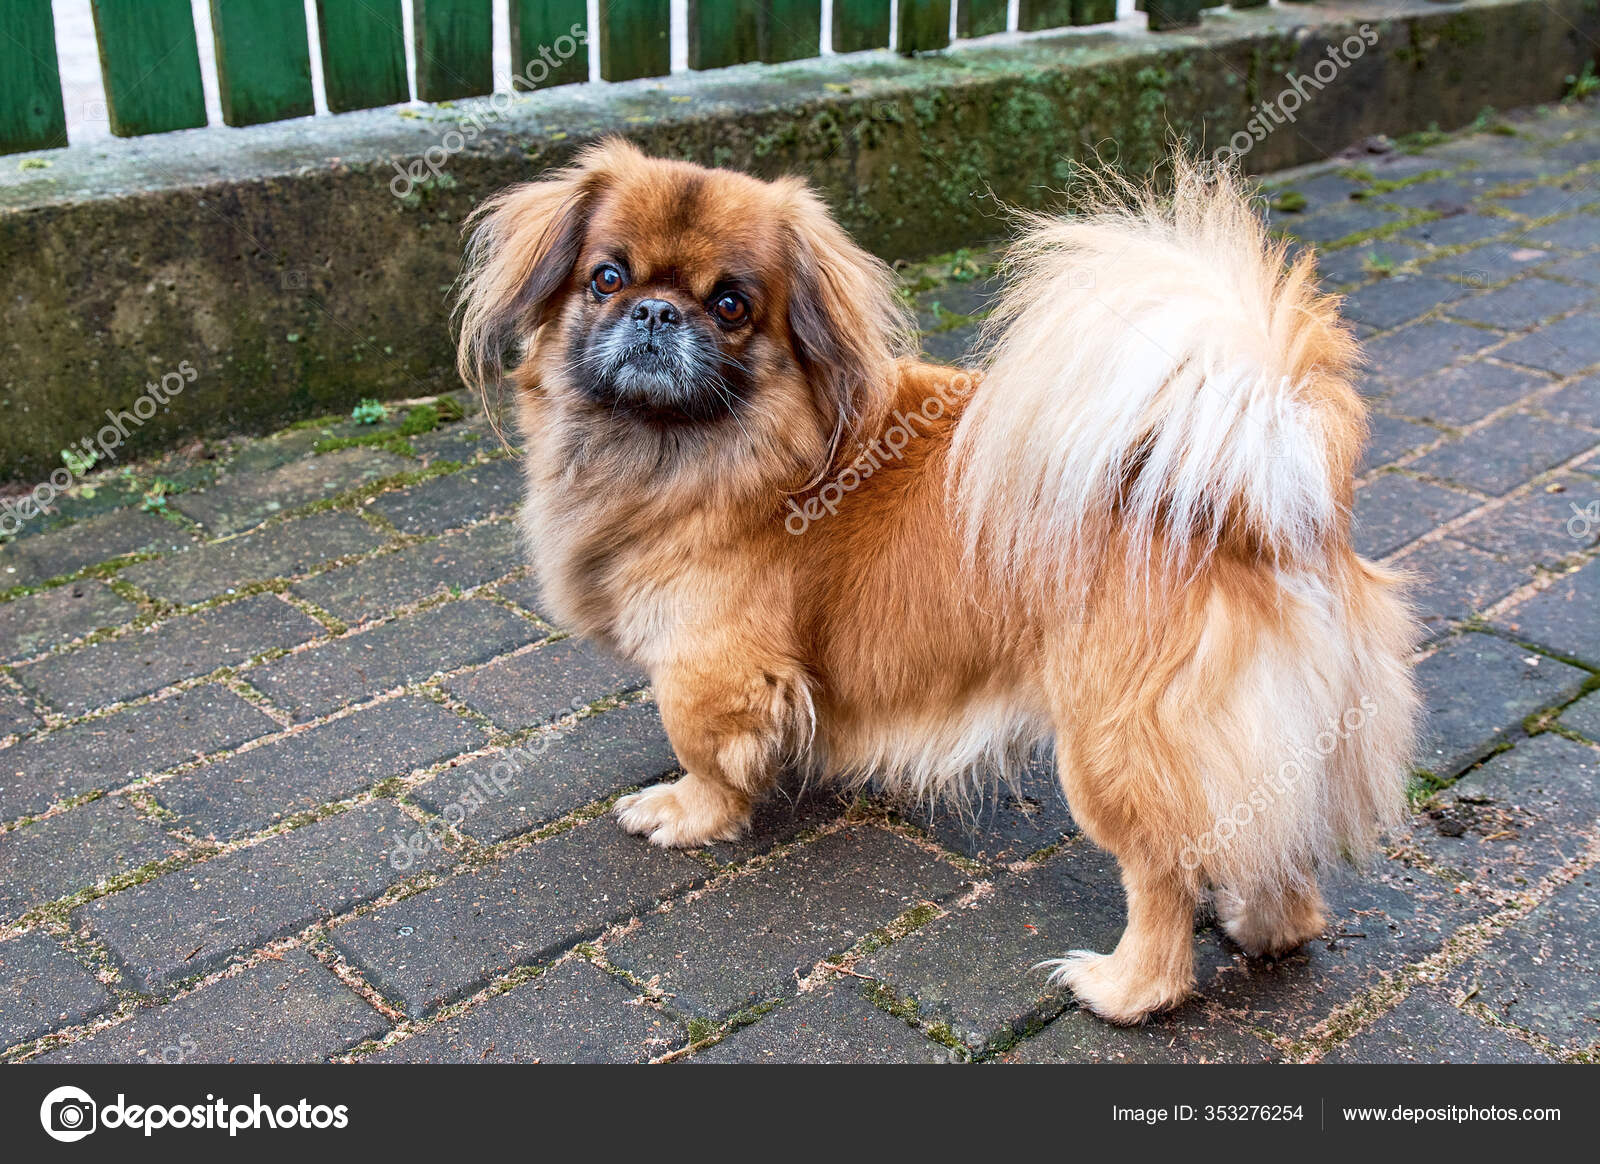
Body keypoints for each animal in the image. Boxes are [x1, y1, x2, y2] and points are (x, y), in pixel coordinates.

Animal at [457, 140, 1420, 1023]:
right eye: (606, 278)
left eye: (731, 306)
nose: (657, 311)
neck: (707, 450)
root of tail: (1264, 501)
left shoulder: (711, 668)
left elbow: (706, 753)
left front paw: (686, 812)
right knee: (1280, 871)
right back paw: (1260, 930)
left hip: (1113, 748)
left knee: (1162, 876)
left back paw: (1122, 986)